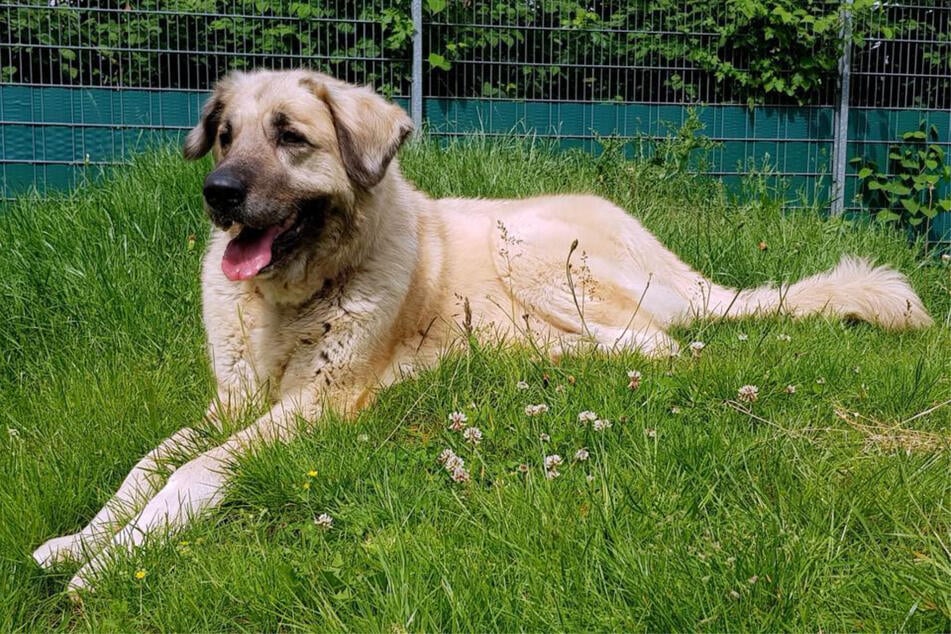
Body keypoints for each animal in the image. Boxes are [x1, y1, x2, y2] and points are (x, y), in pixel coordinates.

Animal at [33, 68, 932, 592]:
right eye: (225, 135)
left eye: (290, 137)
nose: (217, 193)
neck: (291, 301)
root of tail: (665, 254)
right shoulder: (231, 404)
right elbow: (144, 466)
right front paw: (79, 539)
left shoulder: (312, 409)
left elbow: (192, 474)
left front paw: (106, 566)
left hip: (532, 254)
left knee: (657, 347)